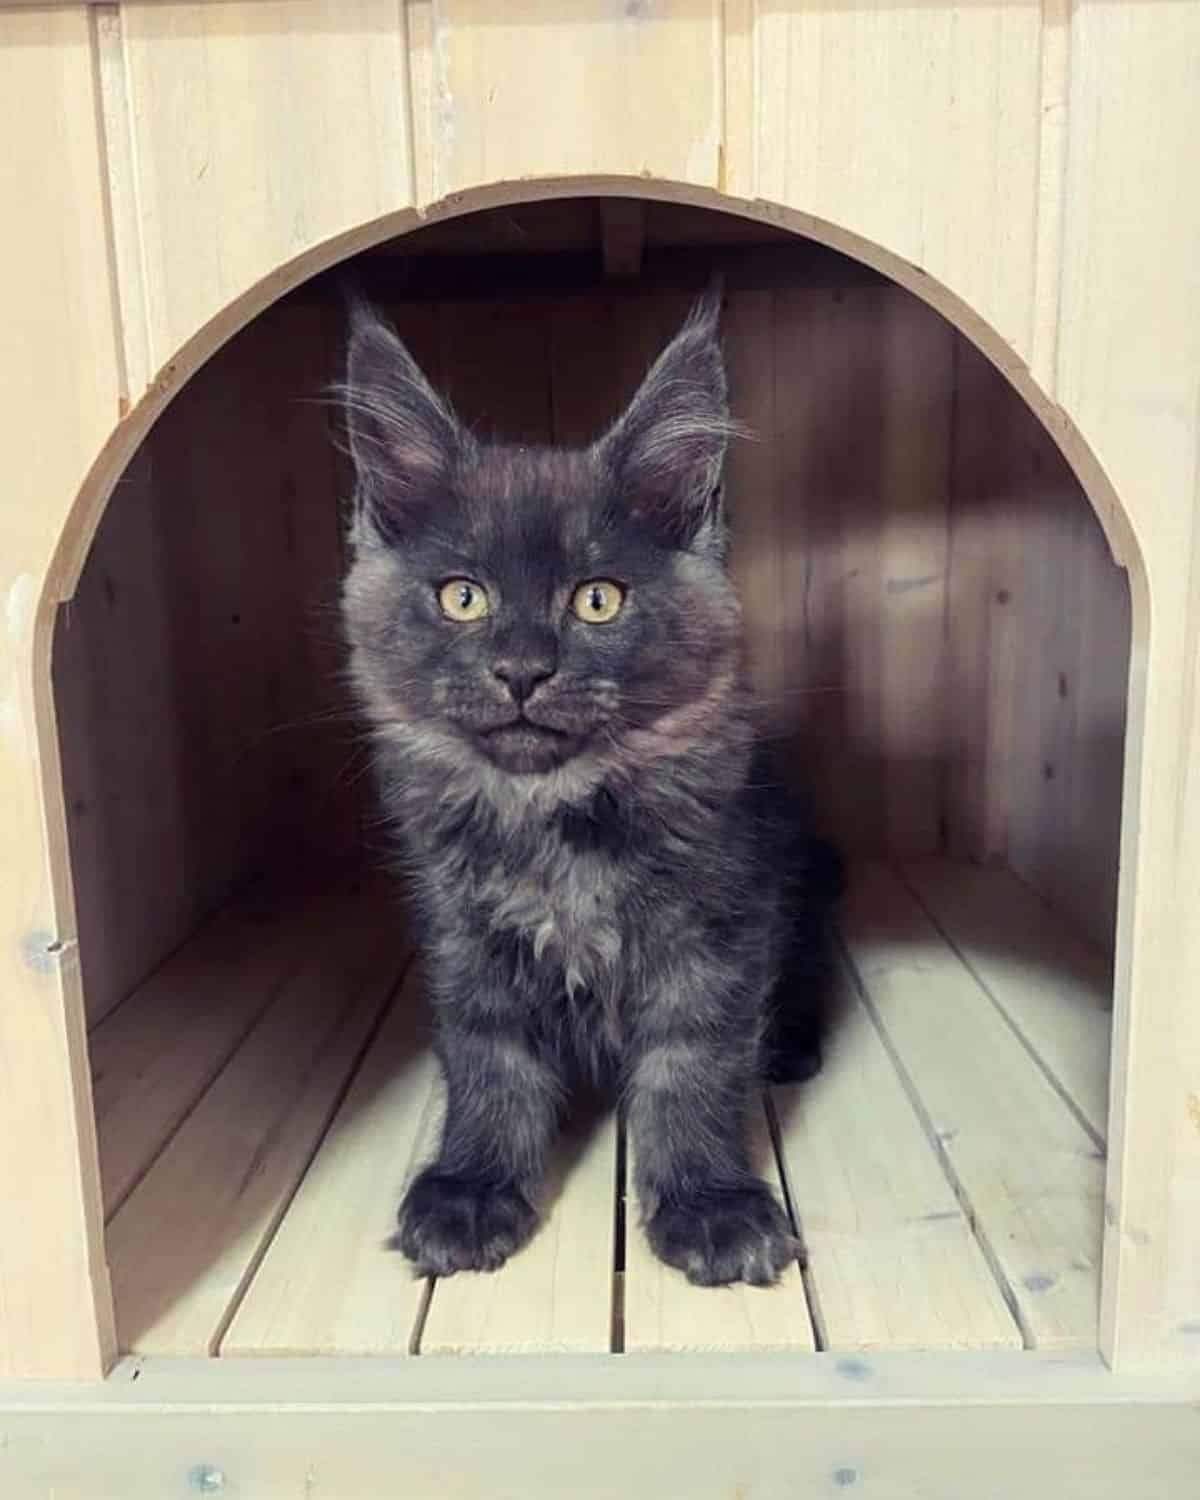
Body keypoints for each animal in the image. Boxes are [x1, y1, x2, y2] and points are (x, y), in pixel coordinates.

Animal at [342, 292, 840, 1290]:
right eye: (462, 597)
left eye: (597, 600)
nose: (522, 671)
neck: (556, 821)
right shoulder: (463, 933)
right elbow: (488, 1060)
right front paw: (472, 1185)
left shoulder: (718, 929)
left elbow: (693, 1064)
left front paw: (709, 1204)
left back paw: (790, 1046)